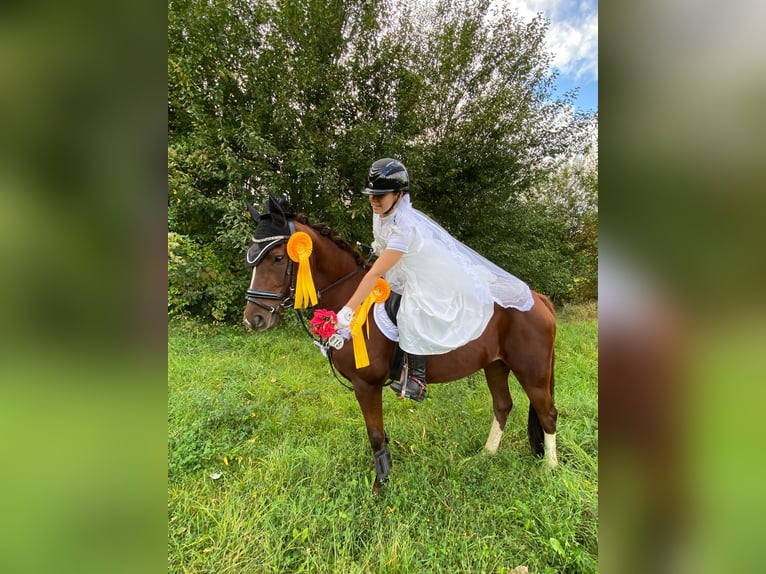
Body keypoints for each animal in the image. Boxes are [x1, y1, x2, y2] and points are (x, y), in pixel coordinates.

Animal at [244, 197, 560, 496]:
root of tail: (538, 298)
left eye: (277, 257)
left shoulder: (367, 384)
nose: (254, 319)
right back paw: (486, 455)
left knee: (548, 414)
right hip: (495, 365)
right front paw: (385, 474)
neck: (352, 298)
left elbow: (375, 434)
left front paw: (380, 485)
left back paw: (550, 470)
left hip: (532, 372)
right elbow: (380, 434)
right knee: (502, 405)